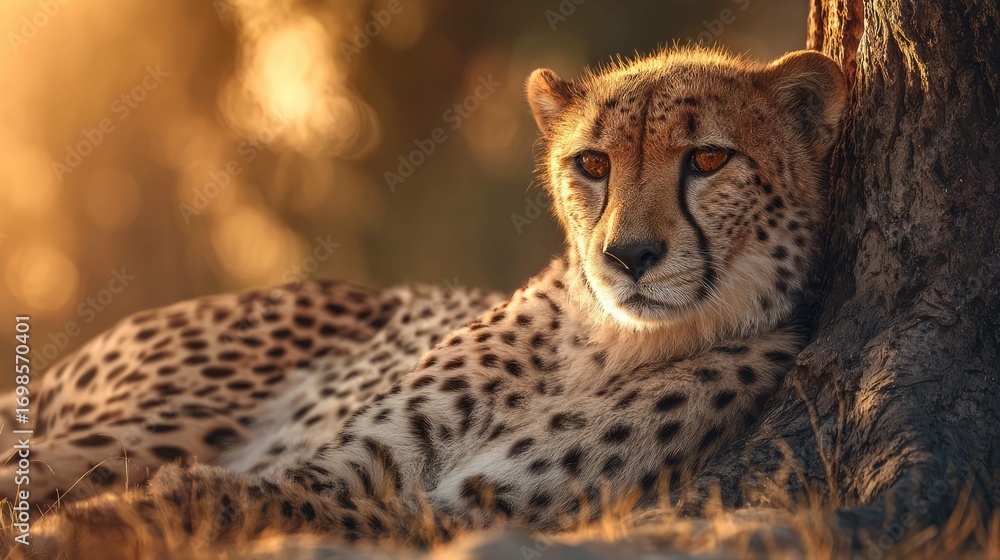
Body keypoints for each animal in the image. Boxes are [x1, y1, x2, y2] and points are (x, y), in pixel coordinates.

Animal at [3, 47, 847, 556]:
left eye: (707, 159)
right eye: (593, 164)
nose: (628, 257)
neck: (607, 347)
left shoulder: (470, 509)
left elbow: (268, 505)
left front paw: (97, 526)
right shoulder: (358, 462)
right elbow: (271, 491)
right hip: (148, 424)